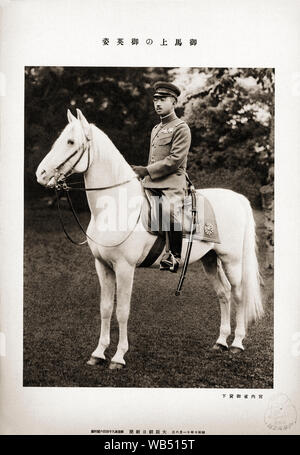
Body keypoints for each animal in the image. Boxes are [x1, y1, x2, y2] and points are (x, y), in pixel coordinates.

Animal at [36, 109, 264, 370]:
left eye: (71, 142)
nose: (41, 174)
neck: (116, 205)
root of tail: (238, 198)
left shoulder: (125, 268)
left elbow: (122, 311)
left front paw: (118, 356)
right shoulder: (103, 266)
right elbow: (105, 309)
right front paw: (99, 353)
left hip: (232, 260)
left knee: (238, 294)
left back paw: (237, 343)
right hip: (210, 260)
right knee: (223, 294)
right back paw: (220, 341)